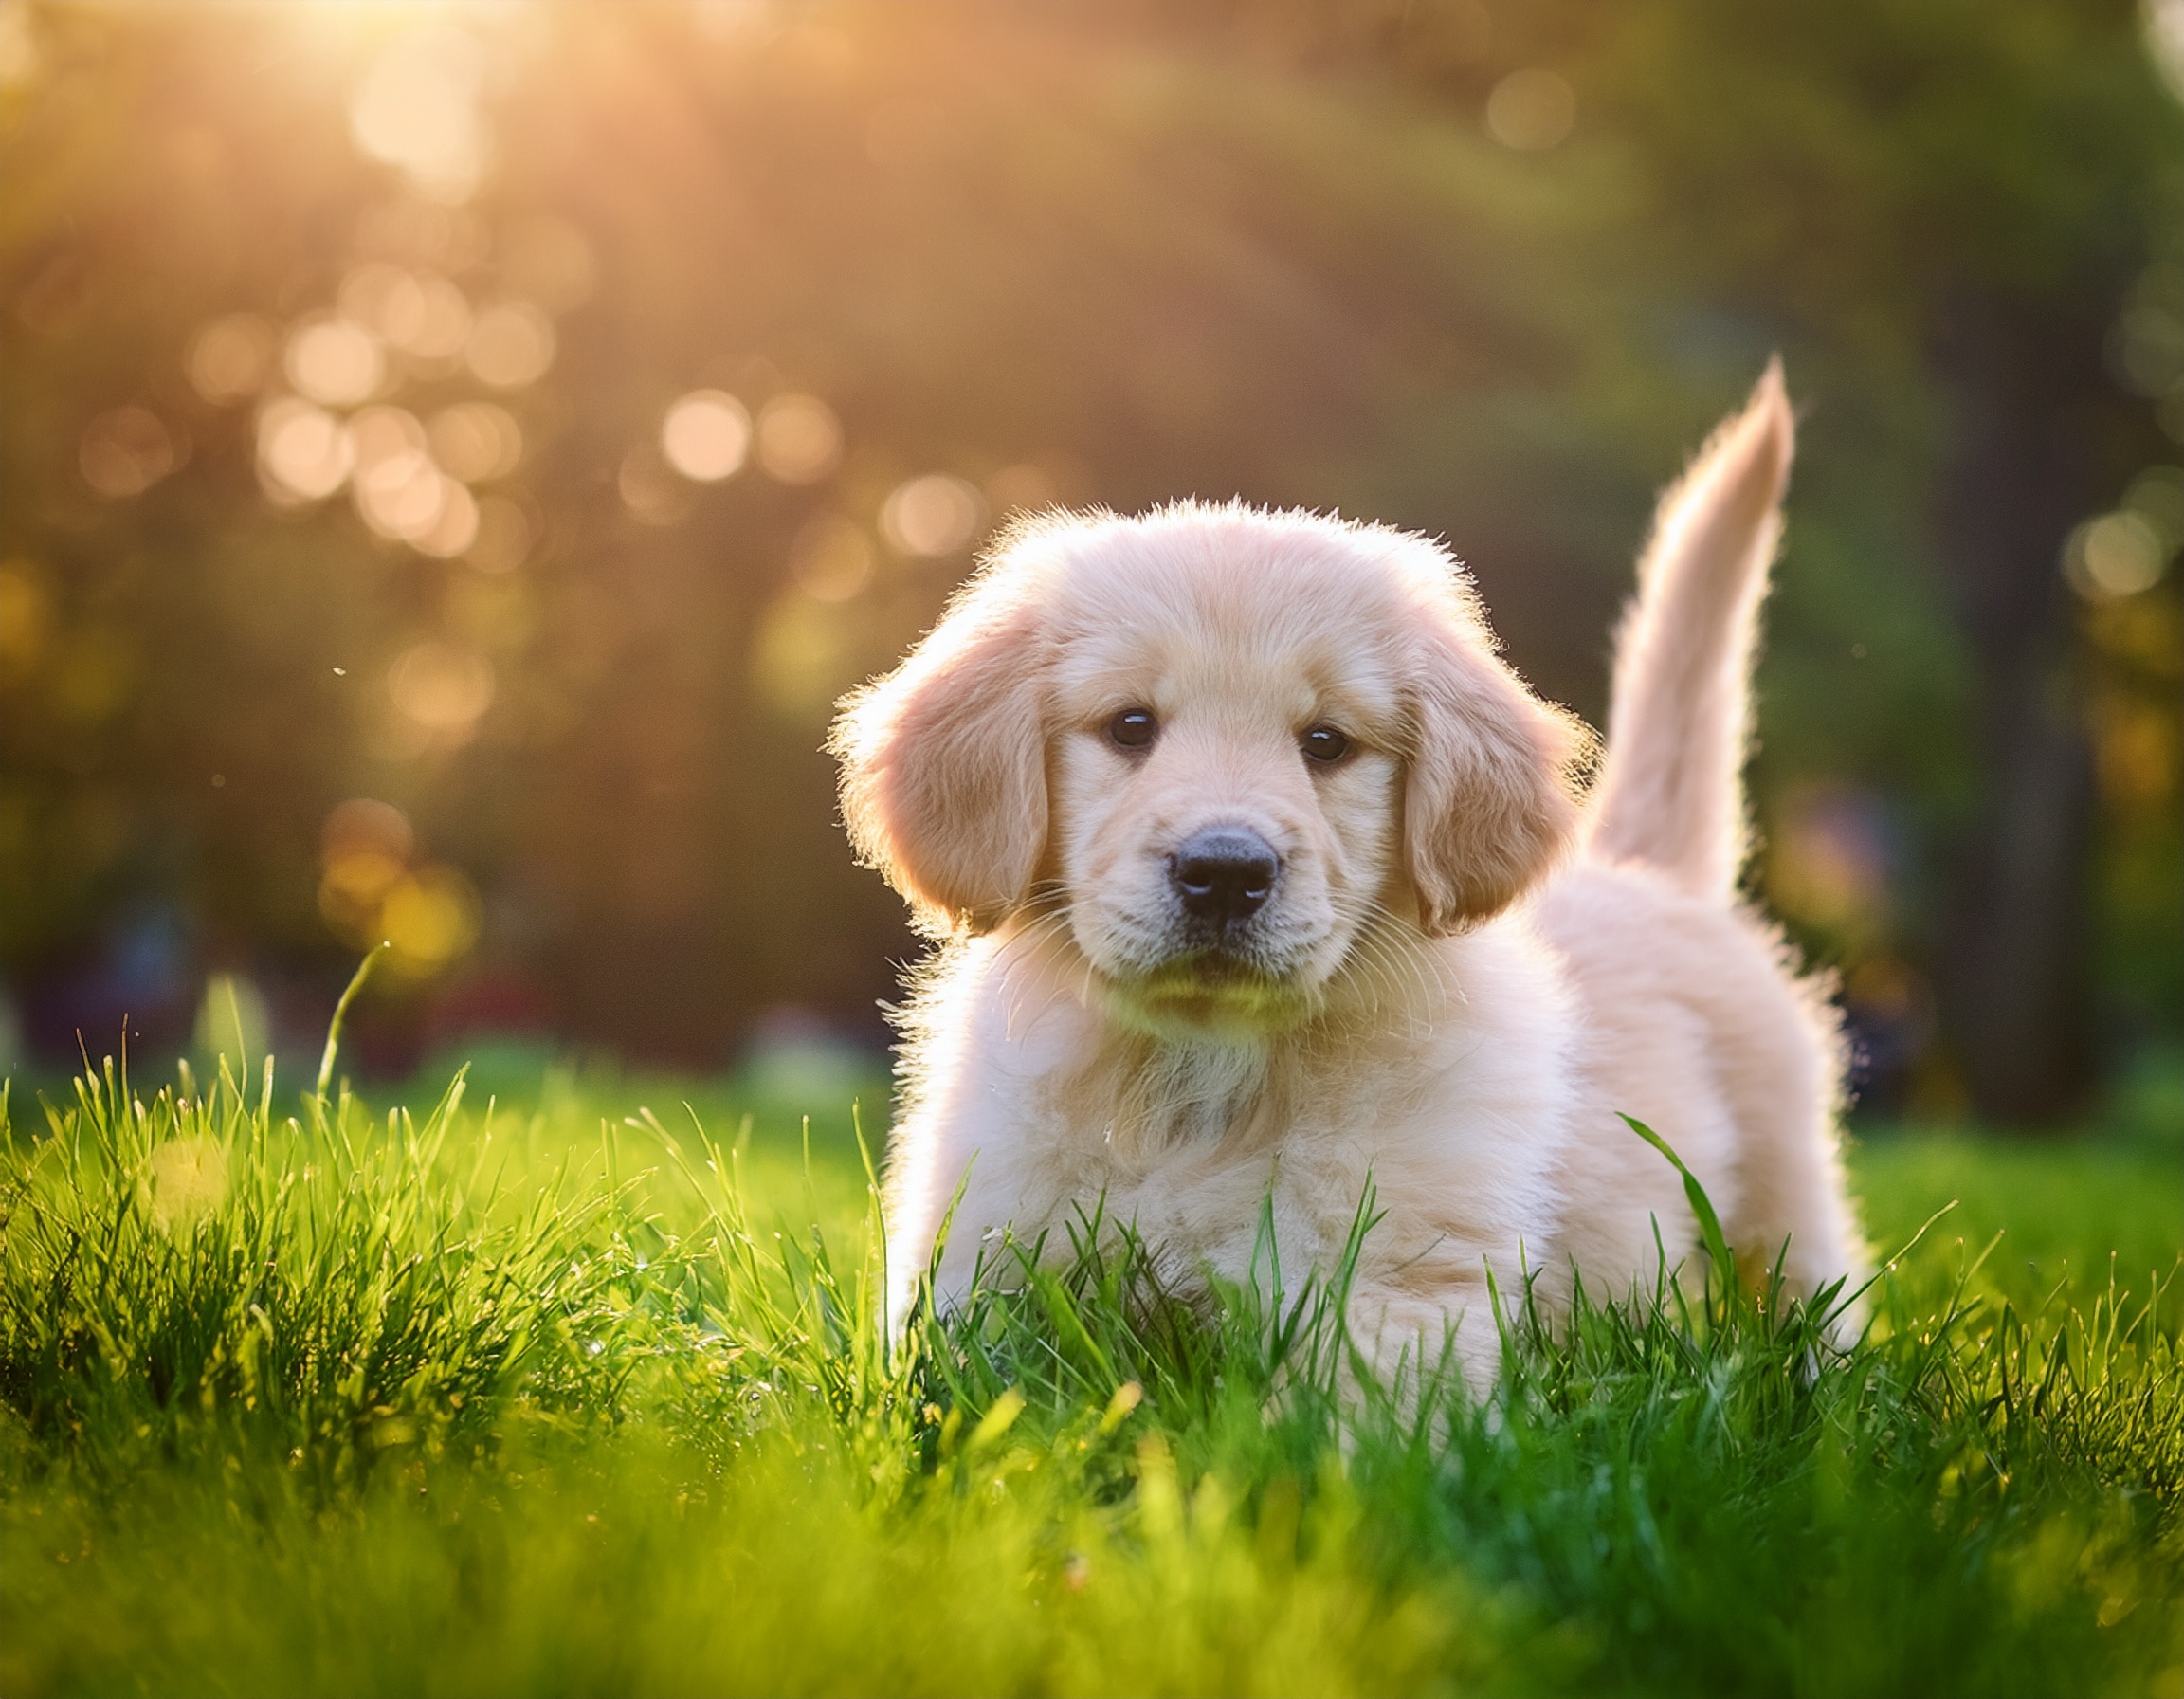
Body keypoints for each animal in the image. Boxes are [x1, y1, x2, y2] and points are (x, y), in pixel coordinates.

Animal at [829, 364, 1861, 1379]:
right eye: (1129, 726)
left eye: (1326, 743)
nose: (1224, 872)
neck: (1203, 1080)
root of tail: (1645, 870)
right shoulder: (985, 1256)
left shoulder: (1398, 1277)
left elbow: (1343, 1413)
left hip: (1783, 1192)